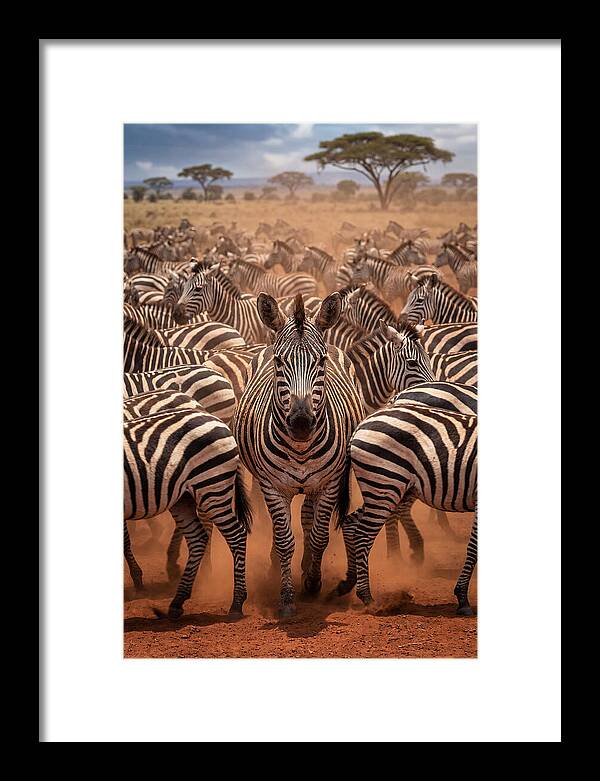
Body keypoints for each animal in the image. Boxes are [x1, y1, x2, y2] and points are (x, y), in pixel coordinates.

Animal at [124, 402, 252, 618]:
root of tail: (217, 420)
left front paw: (137, 579)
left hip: (212, 486)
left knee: (236, 536)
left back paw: (236, 603)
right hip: (183, 498)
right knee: (198, 538)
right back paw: (177, 601)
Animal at [232, 292, 364, 617]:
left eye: (321, 361)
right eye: (280, 362)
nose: (302, 423)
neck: (301, 448)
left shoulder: (330, 483)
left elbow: (319, 535)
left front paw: (313, 582)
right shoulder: (272, 486)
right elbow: (283, 539)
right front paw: (287, 597)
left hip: (318, 483)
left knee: (308, 516)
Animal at [337, 401, 477, 615]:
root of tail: (361, 425)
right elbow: (474, 548)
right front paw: (462, 598)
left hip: (384, 489)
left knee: (350, 523)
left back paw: (348, 582)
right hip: (385, 484)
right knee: (363, 534)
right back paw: (368, 598)